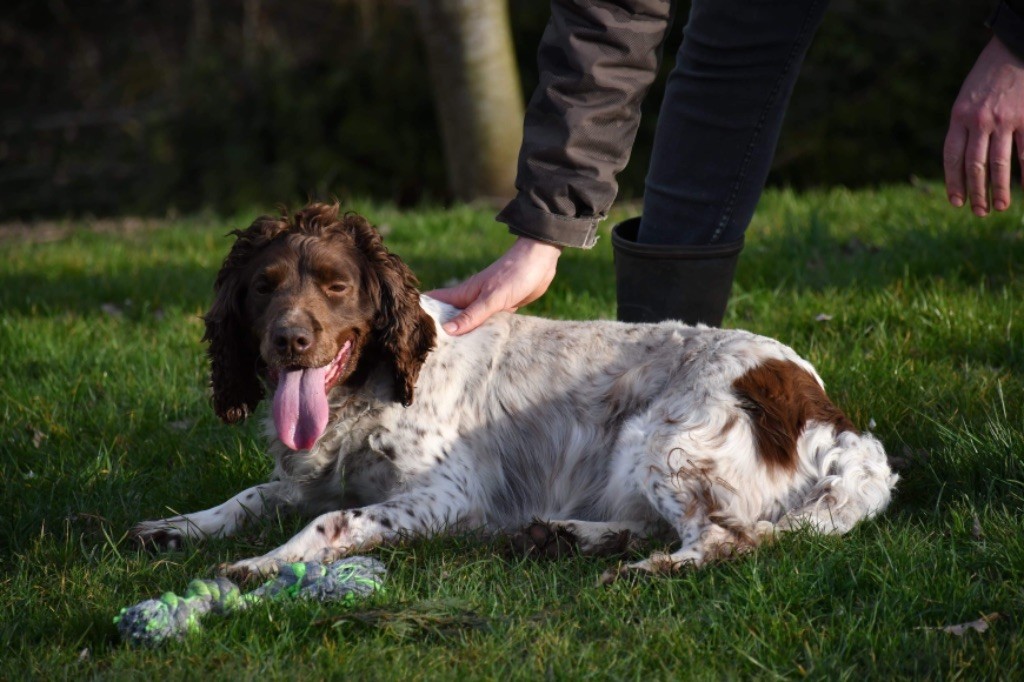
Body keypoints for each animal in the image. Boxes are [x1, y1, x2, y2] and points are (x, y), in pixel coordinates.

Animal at [130, 201, 897, 577]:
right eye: (263, 288)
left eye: (336, 285)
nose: (288, 340)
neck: (374, 389)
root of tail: (829, 417)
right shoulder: (314, 477)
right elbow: (252, 497)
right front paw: (178, 526)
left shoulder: (447, 497)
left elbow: (330, 522)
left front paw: (262, 565)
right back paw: (567, 535)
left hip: (664, 440)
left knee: (725, 536)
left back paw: (642, 570)